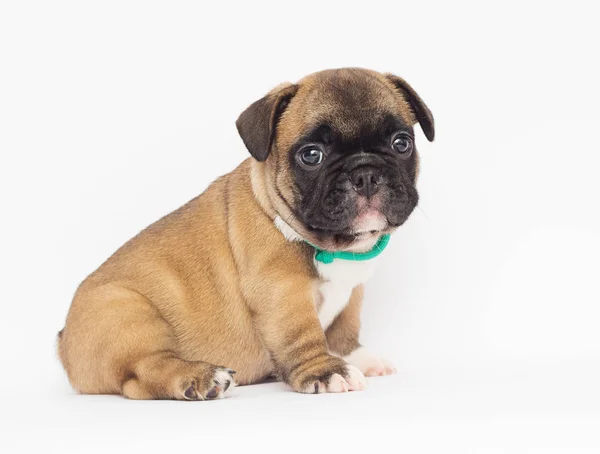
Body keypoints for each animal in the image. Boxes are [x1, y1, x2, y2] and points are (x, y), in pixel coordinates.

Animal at [57, 68, 436, 400]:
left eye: (401, 143)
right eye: (312, 155)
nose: (366, 174)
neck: (334, 246)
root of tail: (63, 345)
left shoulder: (353, 291)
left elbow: (344, 327)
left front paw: (355, 357)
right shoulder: (281, 290)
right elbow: (304, 334)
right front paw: (327, 371)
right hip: (128, 313)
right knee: (142, 375)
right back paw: (201, 377)